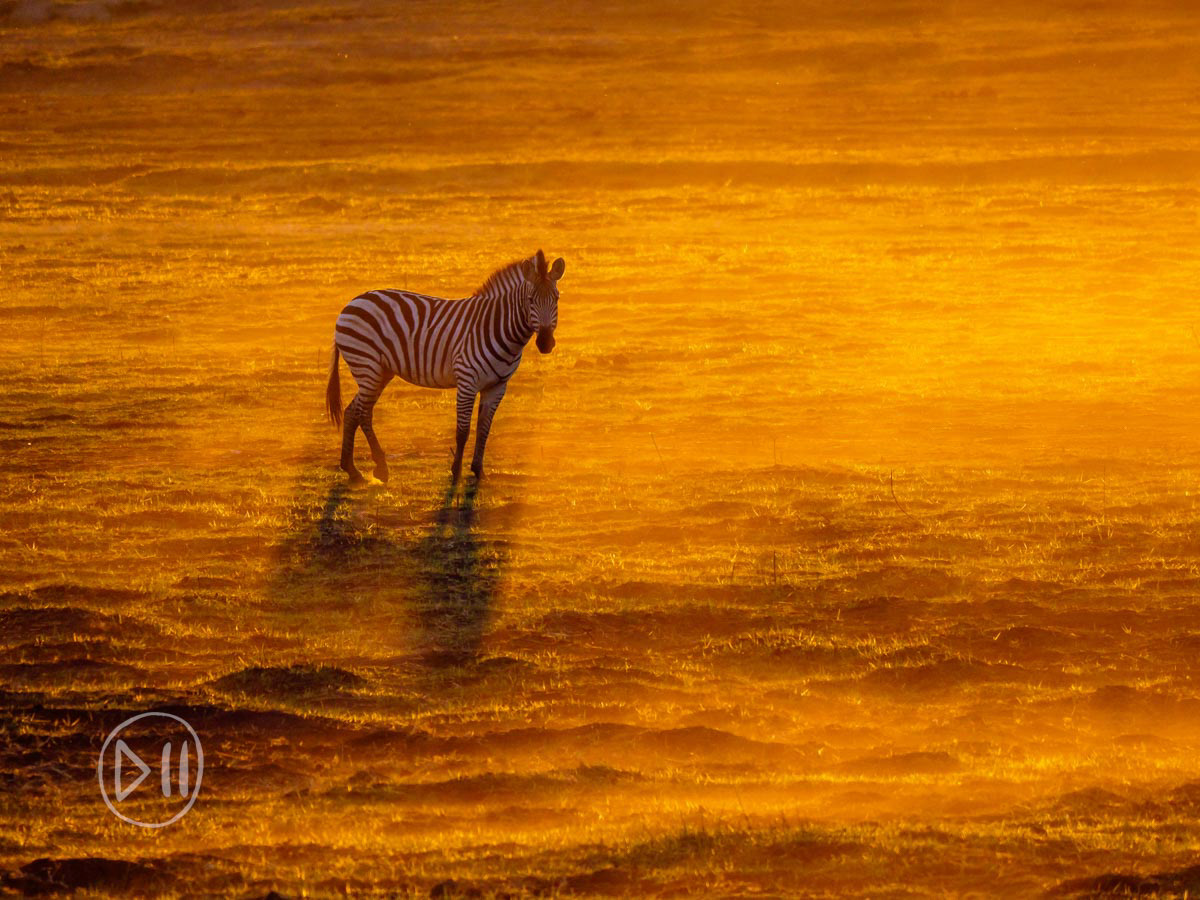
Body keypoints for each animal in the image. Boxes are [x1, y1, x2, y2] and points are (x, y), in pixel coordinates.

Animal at [325, 249, 565, 485]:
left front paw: (479, 471)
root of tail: (353, 301)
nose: (545, 343)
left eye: (556, 298)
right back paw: (381, 468)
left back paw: (352, 470)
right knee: (363, 412)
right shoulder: (467, 380)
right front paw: (456, 472)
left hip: (380, 371)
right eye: (530, 300)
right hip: (368, 366)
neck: (496, 326)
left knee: (352, 411)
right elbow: (463, 431)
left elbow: (484, 429)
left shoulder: (497, 387)